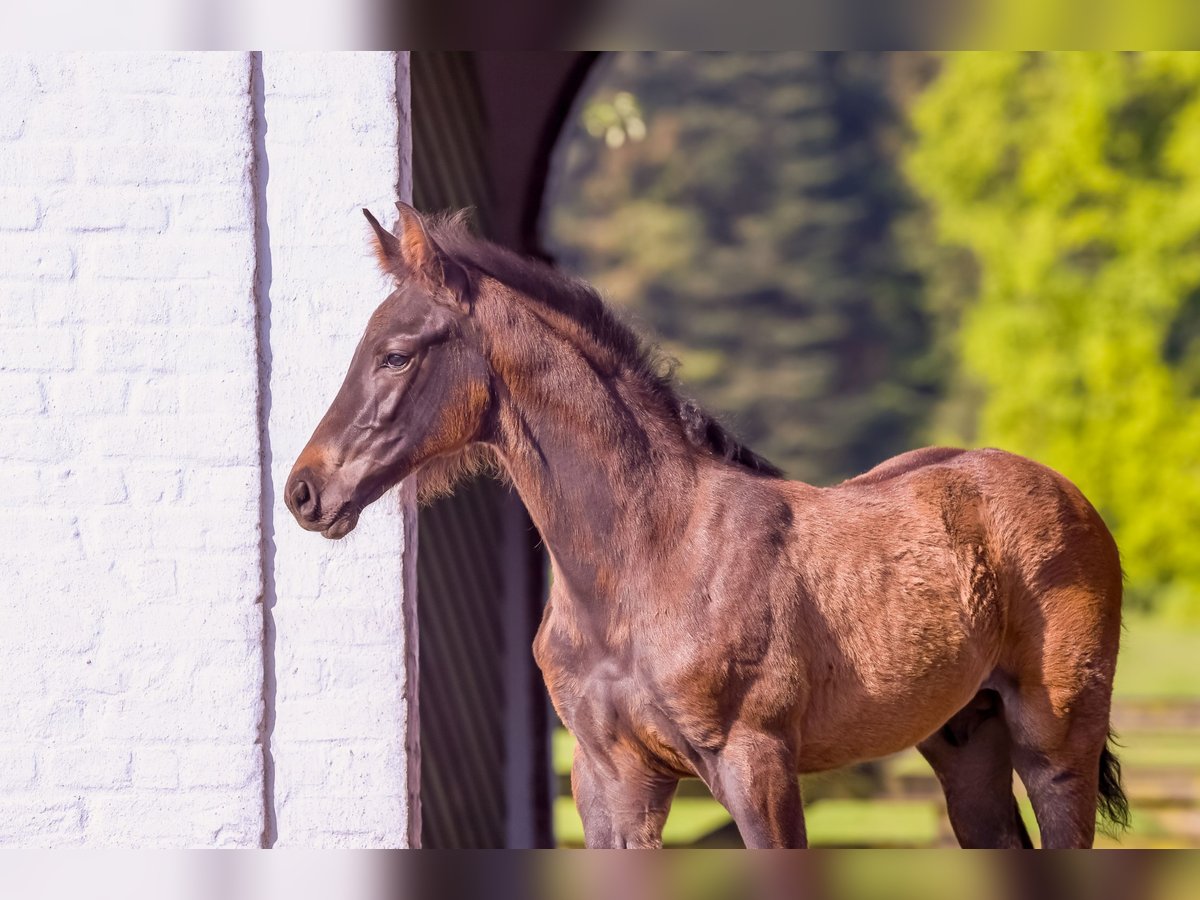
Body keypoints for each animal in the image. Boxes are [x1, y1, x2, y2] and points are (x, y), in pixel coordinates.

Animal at [285, 204, 1128, 854]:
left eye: (395, 355)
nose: (305, 491)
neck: (646, 559)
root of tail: (1067, 493)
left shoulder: (755, 765)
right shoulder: (610, 780)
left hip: (1057, 739)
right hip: (965, 740)